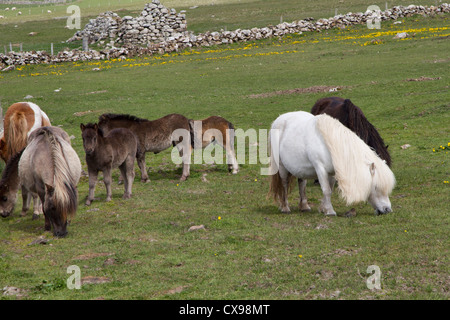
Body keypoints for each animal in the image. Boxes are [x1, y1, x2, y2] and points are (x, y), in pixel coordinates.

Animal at [268, 111, 396, 216]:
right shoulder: (320, 169)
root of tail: (278, 119)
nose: (387, 210)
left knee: (302, 184)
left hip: (301, 169)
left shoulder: (333, 172)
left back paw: (304, 206)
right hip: (281, 166)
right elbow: (326, 190)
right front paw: (330, 211)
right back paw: (285, 207)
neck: (330, 145)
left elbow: (329, 188)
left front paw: (323, 208)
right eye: (376, 187)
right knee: (284, 184)